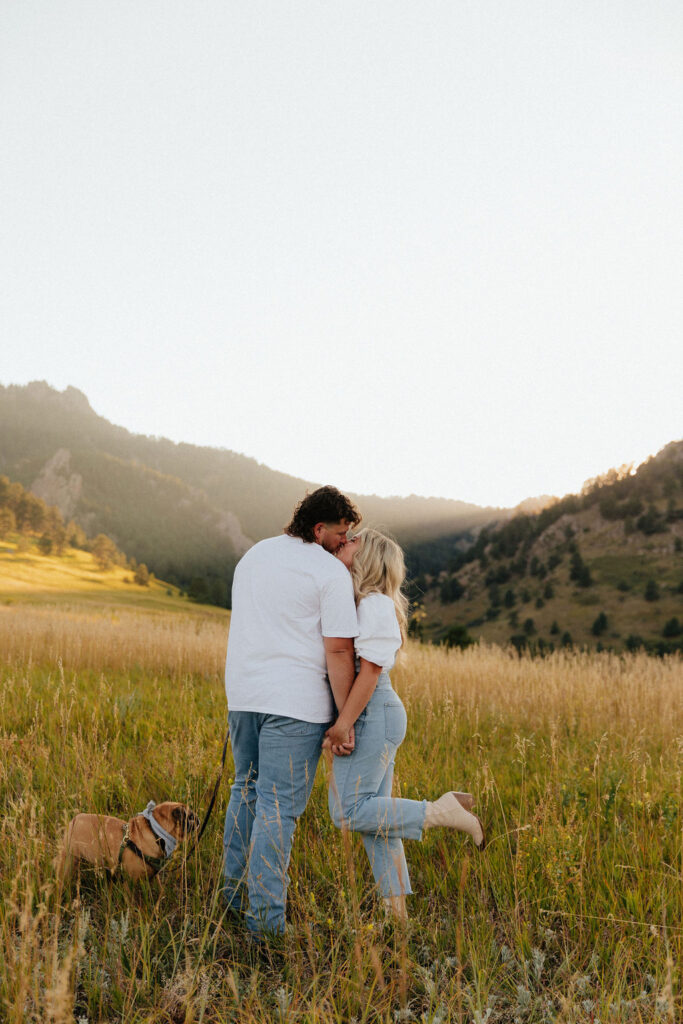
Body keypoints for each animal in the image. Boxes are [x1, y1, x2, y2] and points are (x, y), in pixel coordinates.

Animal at [57, 798, 198, 880]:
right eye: (190, 816)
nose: (197, 818)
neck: (156, 831)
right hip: (69, 860)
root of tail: (74, 820)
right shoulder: (131, 879)